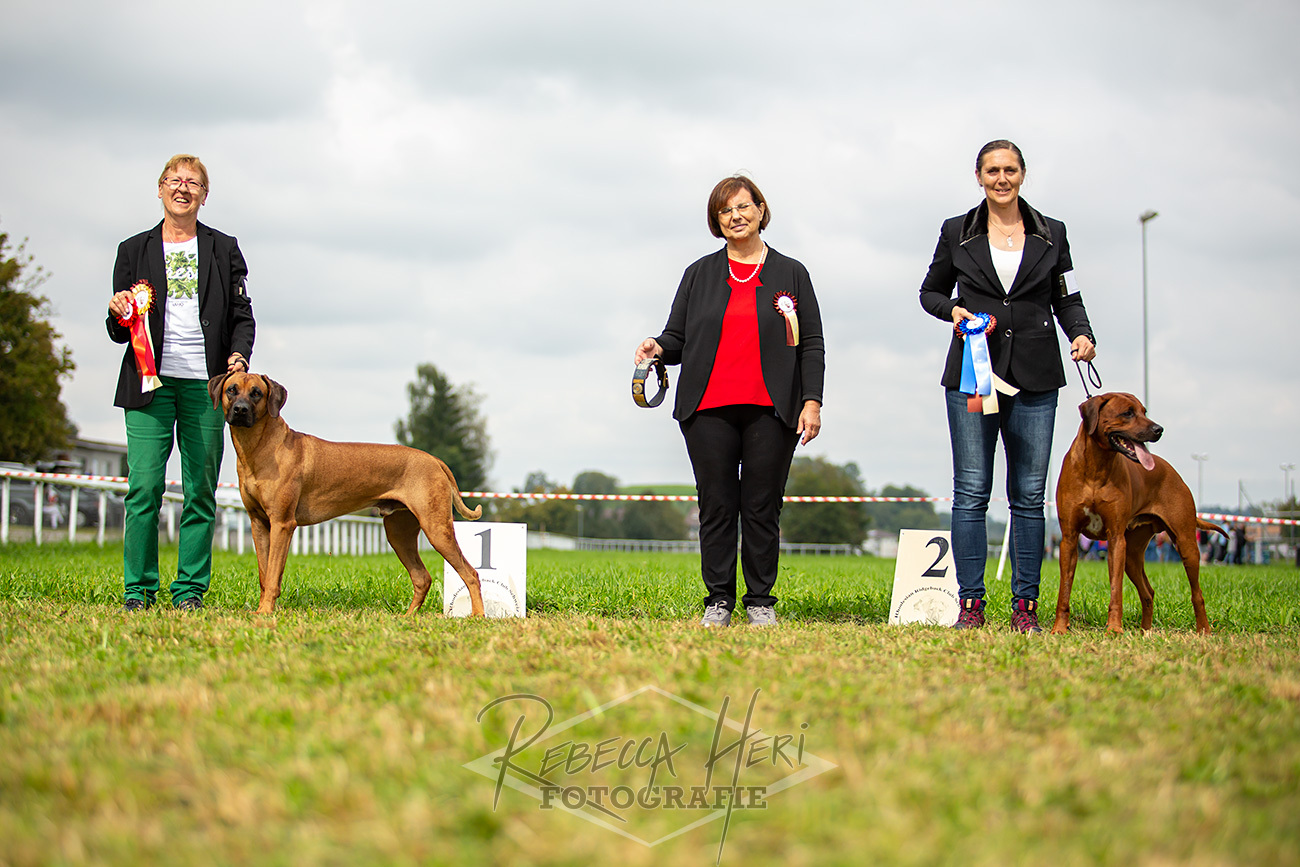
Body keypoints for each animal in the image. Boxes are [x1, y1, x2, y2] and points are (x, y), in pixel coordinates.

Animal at [210, 371, 486, 616]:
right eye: (231, 389)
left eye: (257, 393)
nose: (240, 410)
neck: (261, 447)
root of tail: (434, 460)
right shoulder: (258, 522)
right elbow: (263, 574)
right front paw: (260, 610)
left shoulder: (282, 523)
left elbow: (273, 575)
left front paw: (266, 612)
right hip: (399, 532)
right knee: (422, 577)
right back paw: (408, 617)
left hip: (436, 527)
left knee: (471, 573)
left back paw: (477, 615)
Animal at [1050, 392, 1222, 631]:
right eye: (1128, 413)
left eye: (1144, 411)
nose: (1159, 429)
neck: (1096, 467)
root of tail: (1173, 472)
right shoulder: (1069, 538)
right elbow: (1064, 590)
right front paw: (1059, 628)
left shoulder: (1116, 539)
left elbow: (1116, 590)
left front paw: (1114, 629)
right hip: (1132, 555)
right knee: (1148, 592)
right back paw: (1145, 632)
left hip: (1186, 543)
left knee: (1197, 593)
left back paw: (1203, 630)